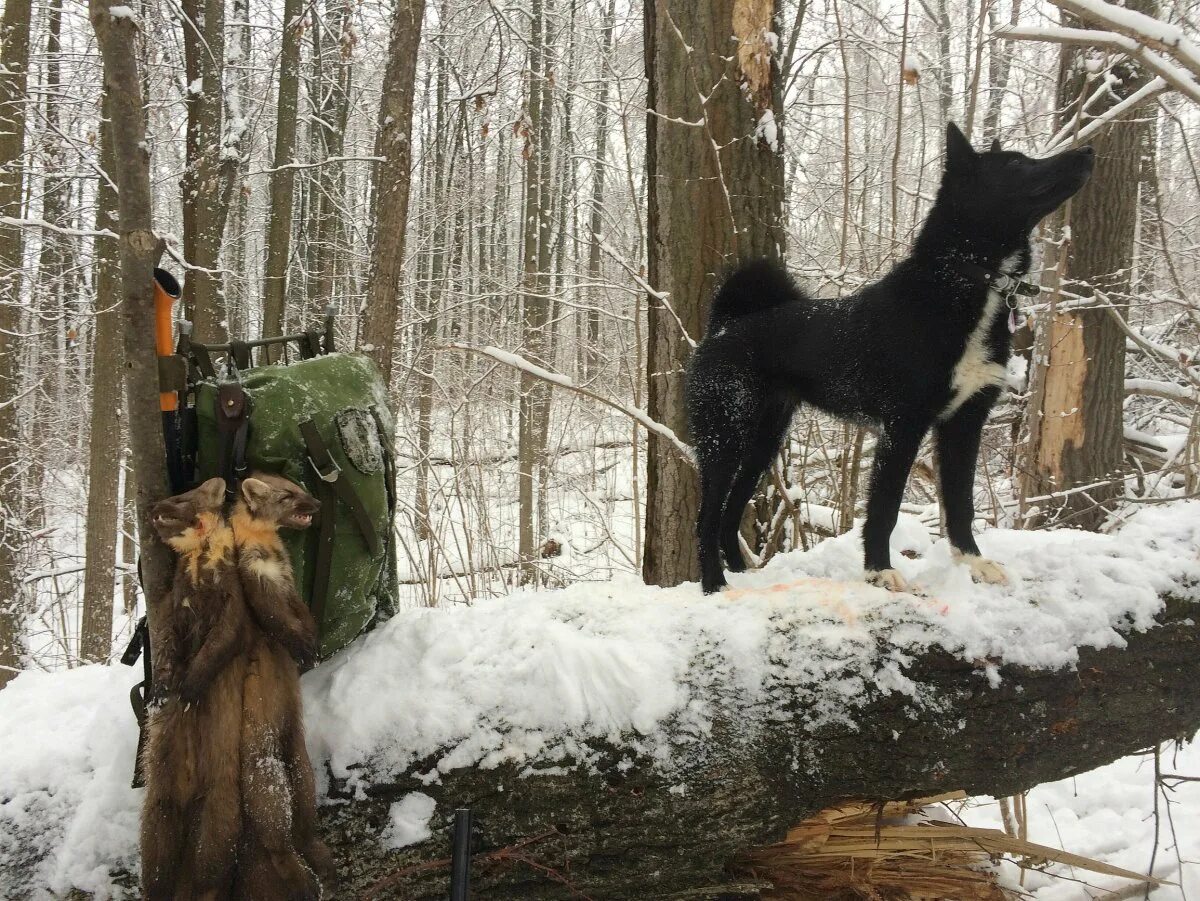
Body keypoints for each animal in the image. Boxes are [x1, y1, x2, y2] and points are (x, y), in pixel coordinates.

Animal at [686, 123, 1089, 595]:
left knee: (731, 514)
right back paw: (715, 585)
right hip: (725, 437)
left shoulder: (964, 423)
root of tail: (724, 325)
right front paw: (880, 571)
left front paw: (973, 561)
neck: (965, 280)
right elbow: (886, 507)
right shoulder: (903, 424)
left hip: (763, 442)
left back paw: (743, 576)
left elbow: (961, 502)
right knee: (707, 517)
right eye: (1015, 163)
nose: (1087, 152)